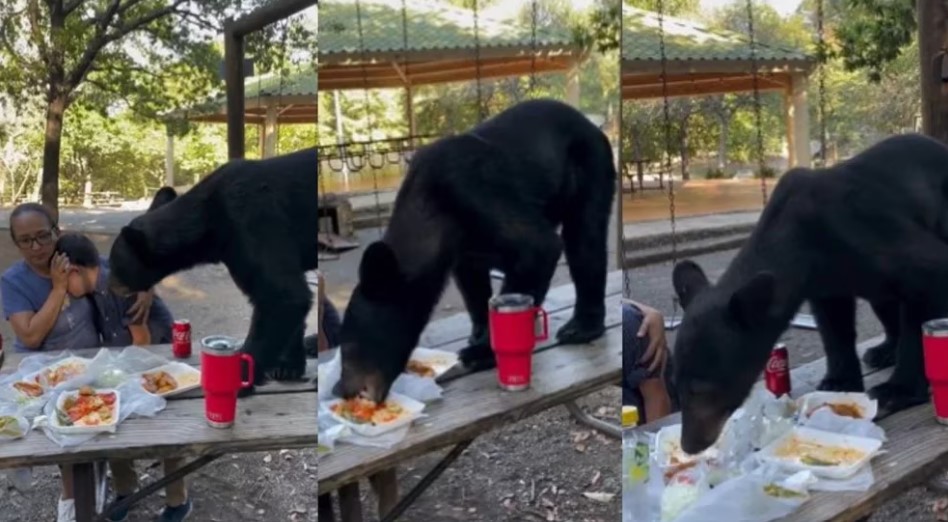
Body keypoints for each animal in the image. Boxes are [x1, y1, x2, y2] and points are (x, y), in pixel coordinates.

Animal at [106, 146, 316, 390]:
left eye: (115, 265)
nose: (110, 286)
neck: (211, 220)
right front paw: (287, 366)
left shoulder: (253, 221)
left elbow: (282, 295)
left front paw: (239, 378)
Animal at [336, 97, 620, 400]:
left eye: (349, 348)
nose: (341, 389)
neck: (433, 209)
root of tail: (590, 123)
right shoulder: (465, 247)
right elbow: (473, 283)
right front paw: (479, 332)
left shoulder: (475, 191)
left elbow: (539, 247)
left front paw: (481, 351)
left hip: (590, 166)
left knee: (584, 239)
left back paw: (581, 327)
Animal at [672, 132, 948, 452]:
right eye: (676, 387)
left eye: (702, 390)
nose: (690, 444)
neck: (800, 240)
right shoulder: (824, 281)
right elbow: (833, 325)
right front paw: (839, 382)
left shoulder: (865, 229)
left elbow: (927, 283)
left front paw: (898, 389)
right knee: (885, 303)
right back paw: (884, 350)